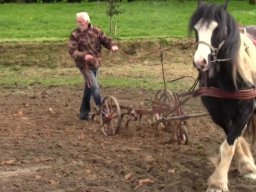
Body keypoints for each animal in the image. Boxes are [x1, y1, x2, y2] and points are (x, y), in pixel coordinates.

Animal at [188, 0, 256, 192]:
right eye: (195, 29)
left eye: (218, 28)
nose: (200, 62)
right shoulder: (219, 114)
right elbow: (232, 140)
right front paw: (245, 165)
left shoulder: (246, 110)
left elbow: (229, 144)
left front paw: (218, 182)